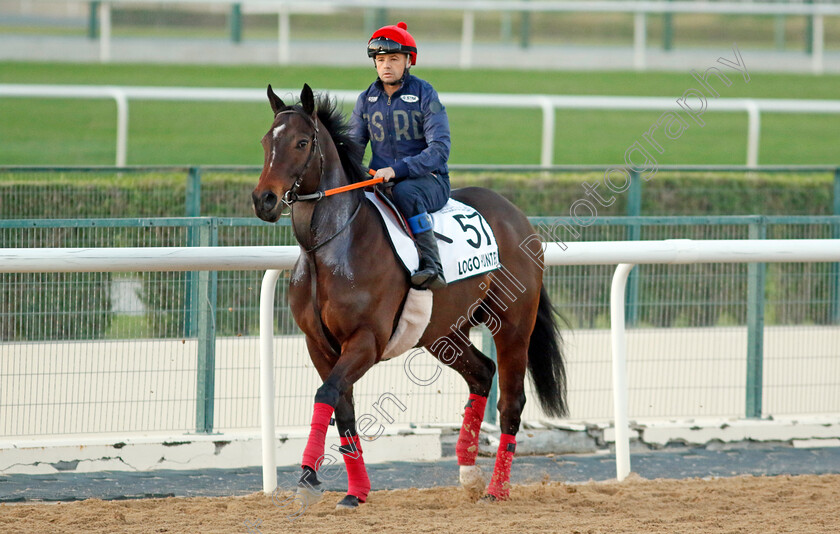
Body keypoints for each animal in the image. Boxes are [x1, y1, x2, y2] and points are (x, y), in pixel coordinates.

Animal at [248, 84, 564, 510]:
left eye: (301, 142)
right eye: (267, 141)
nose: (264, 199)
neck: (328, 250)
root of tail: (517, 216)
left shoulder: (366, 341)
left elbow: (326, 393)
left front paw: (309, 474)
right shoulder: (319, 344)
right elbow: (341, 408)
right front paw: (356, 491)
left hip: (512, 324)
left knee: (511, 401)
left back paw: (496, 490)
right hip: (444, 332)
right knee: (482, 373)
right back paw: (468, 472)